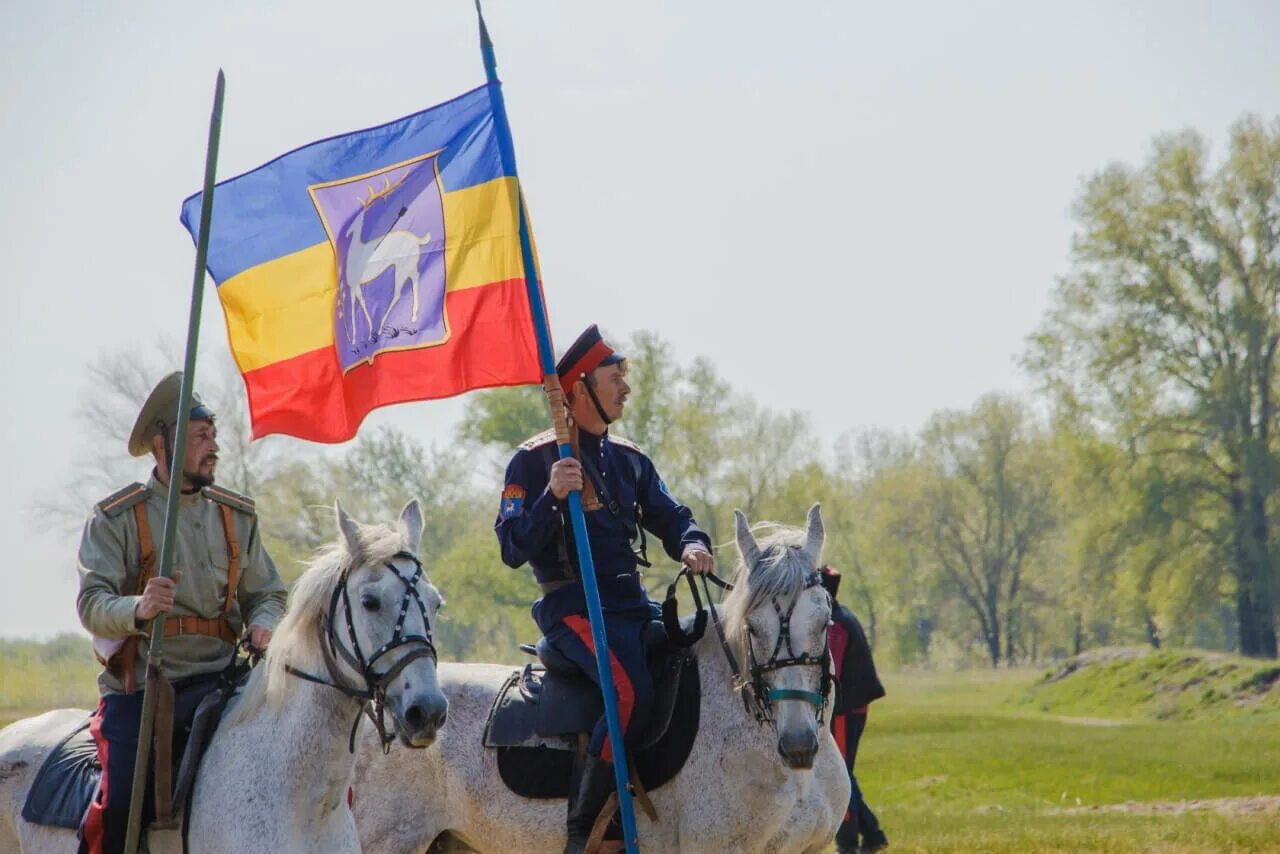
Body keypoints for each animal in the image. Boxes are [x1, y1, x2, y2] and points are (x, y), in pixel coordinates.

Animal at [343, 198, 432, 345]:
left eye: (358, 219)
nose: (346, 234)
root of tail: (417, 239)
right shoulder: (355, 286)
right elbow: (360, 303)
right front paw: (365, 335)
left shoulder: (354, 285)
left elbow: (355, 305)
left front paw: (358, 337)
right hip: (410, 265)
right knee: (416, 277)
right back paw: (414, 316)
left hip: (401, 268)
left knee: (397, 294)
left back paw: (381, 328)